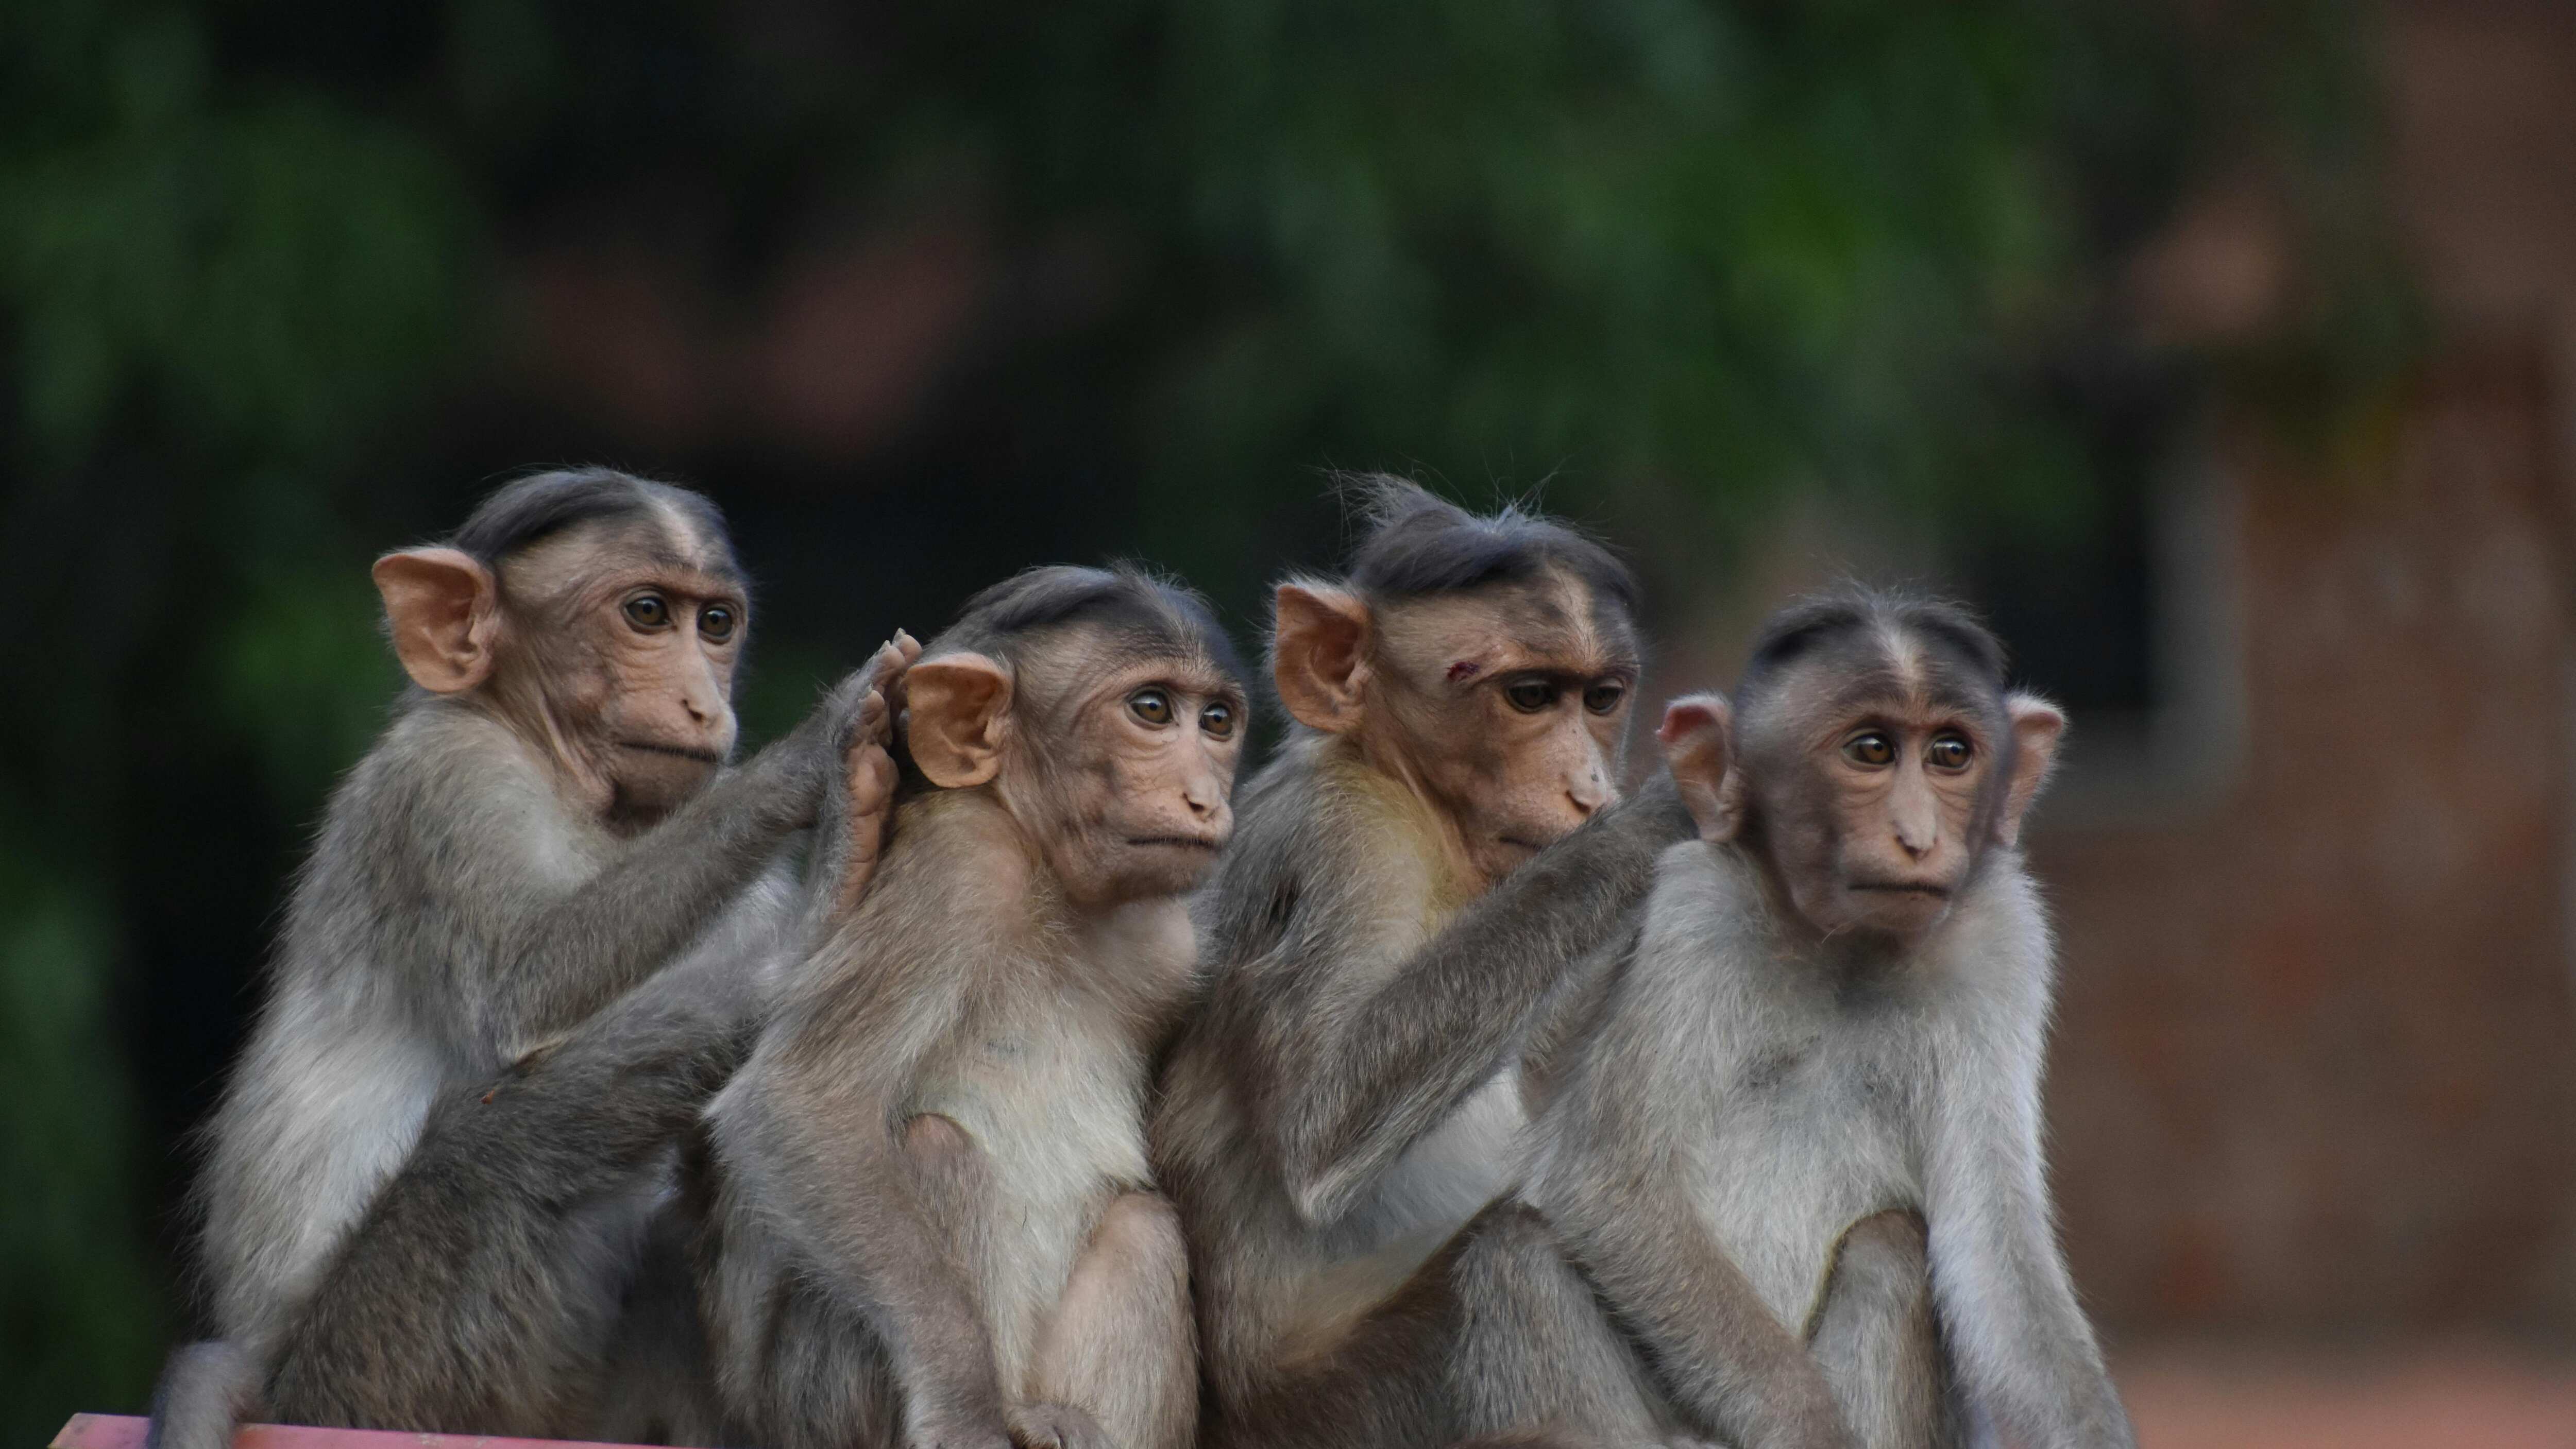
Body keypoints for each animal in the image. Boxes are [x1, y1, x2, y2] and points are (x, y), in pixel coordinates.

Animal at [157, 468, 905, 1449]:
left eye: (715, 623)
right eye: (646, 612)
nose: (707, 703)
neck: (572, 782)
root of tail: (271, 1376)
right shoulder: (448, 780)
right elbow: (523, 989)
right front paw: (826, 776)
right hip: (370, 1368)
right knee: (493, 1145)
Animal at [693, 564, 1249, 1449]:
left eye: (1217, 721)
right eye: (1152, 709)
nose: (1204, 797)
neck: (1044, 868)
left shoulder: (1172, 947)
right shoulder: (958, 870)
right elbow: (794, 1101)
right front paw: (964, 1409)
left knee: (1143, 1228)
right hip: (823, 1400)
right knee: (934, 1144)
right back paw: (1008, 1409)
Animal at [1147, 477, 1699, 1449]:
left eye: (1600, 698)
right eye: (1529, 695)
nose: (1589, 788)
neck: (1427, 811)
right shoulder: (1345, 842)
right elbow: (1324, 1125)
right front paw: (1658, 818)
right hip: (1360, 1412)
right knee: (1512, 1259)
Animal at [1455, 587, 2135, 1449]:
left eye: (1951, 754)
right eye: (1871, 750)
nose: (1918, 837)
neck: (1840, 948)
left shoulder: (2001, 942)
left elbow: (1994, 1260)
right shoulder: (1701, 910)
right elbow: (1607, 1182)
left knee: (1889, 1245)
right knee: (1518, 1248)